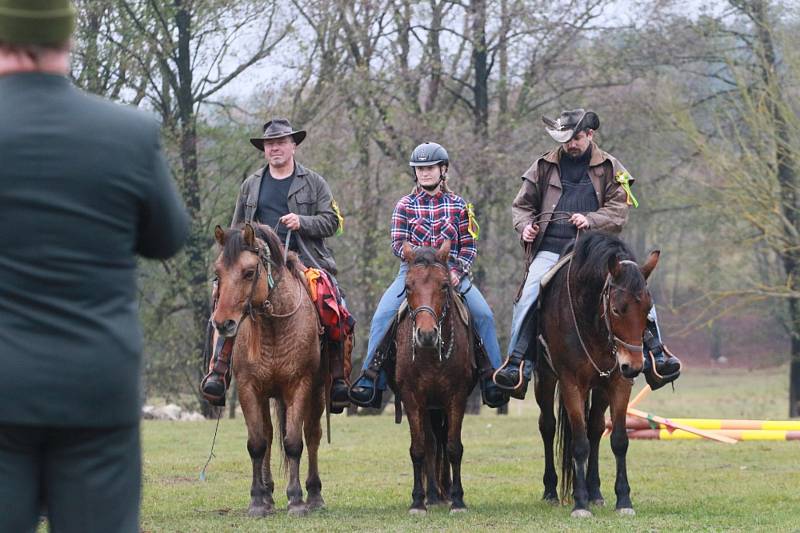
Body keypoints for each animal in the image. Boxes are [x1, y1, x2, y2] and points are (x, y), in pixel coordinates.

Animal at [212, 223, 324, 516]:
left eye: (249, 272)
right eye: (217, 273)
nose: (223, 323)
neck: (274, 326)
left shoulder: (300, 385)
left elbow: (295, 442)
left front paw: (296, 500)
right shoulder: (249, 388)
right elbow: (257, 444)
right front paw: (257, 500)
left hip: (318, 392)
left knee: (313, 435)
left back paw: (315, 495)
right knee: (270, 436)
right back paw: (270, 493)